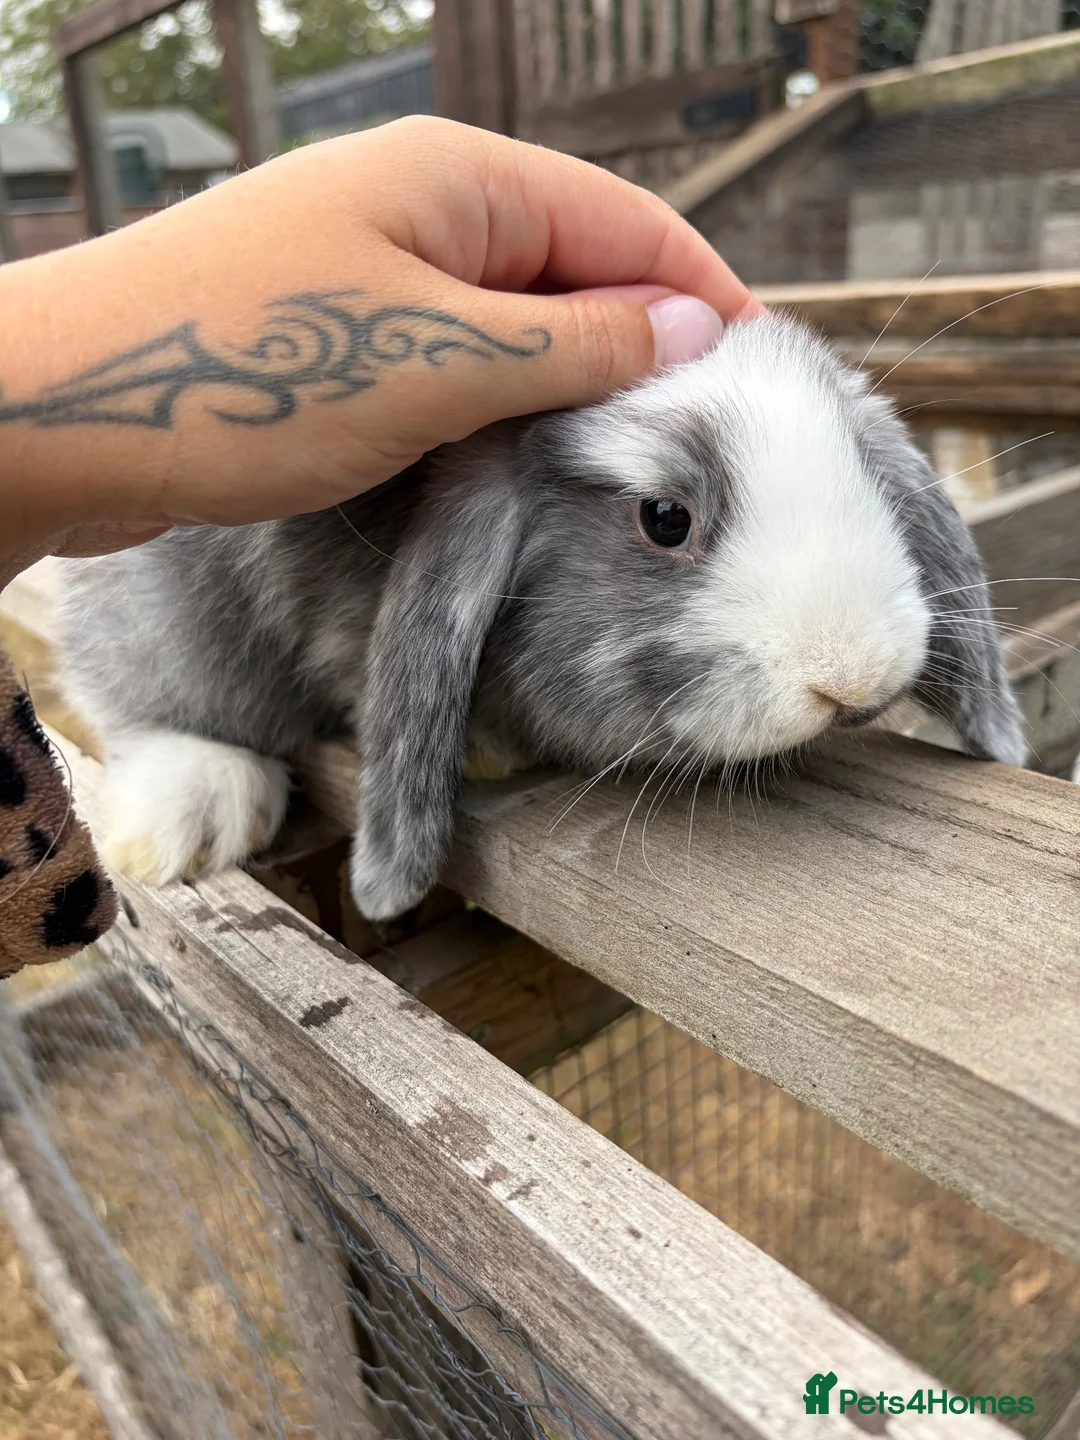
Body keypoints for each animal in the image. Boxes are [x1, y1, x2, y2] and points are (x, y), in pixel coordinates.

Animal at [56, 313, 1027, 921]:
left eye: (868, 477)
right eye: (664, 517)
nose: (852, 677)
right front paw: (487, 749)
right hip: (159, 607)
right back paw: (191, 814)